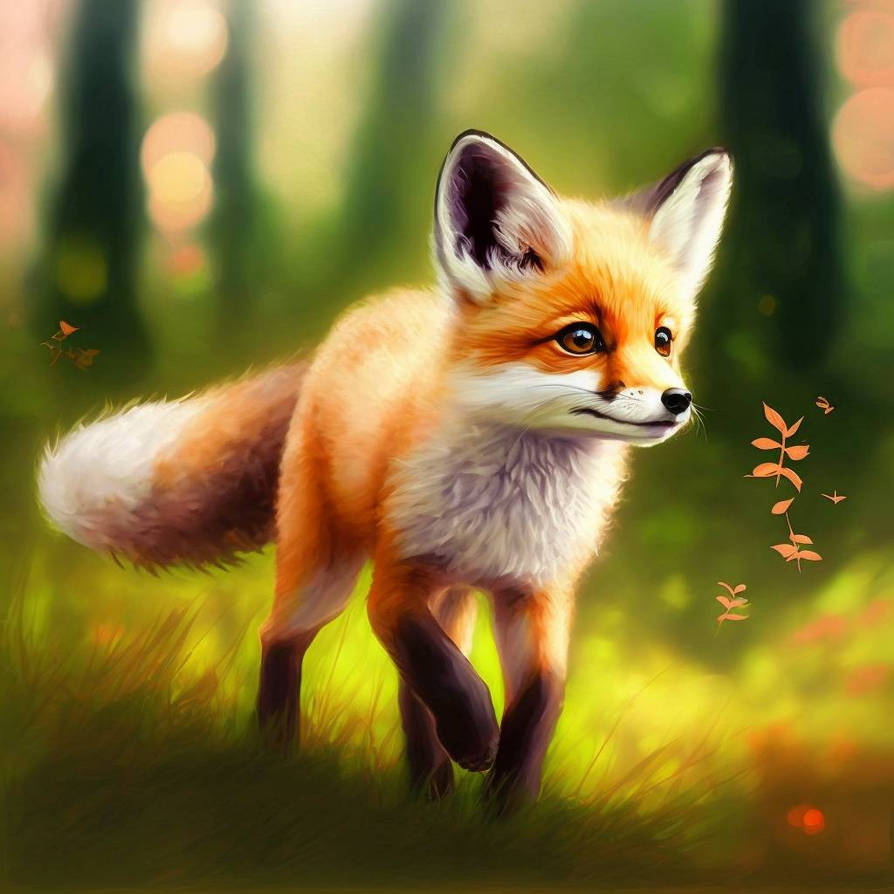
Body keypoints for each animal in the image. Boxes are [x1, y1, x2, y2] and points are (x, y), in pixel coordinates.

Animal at [38, 131, 732, 811]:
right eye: (582, 339)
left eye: (664, 339)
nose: (678, 400)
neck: (509, 512)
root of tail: (366, 314)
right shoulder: (398, 580)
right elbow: (436, 667)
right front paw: (475, 735)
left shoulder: (537, 594)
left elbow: (535, 708)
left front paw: (505, 814)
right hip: (327, 570)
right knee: (281, 638)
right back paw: (283, 756)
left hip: (452, 599)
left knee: (406, 690)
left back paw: (428, 794)